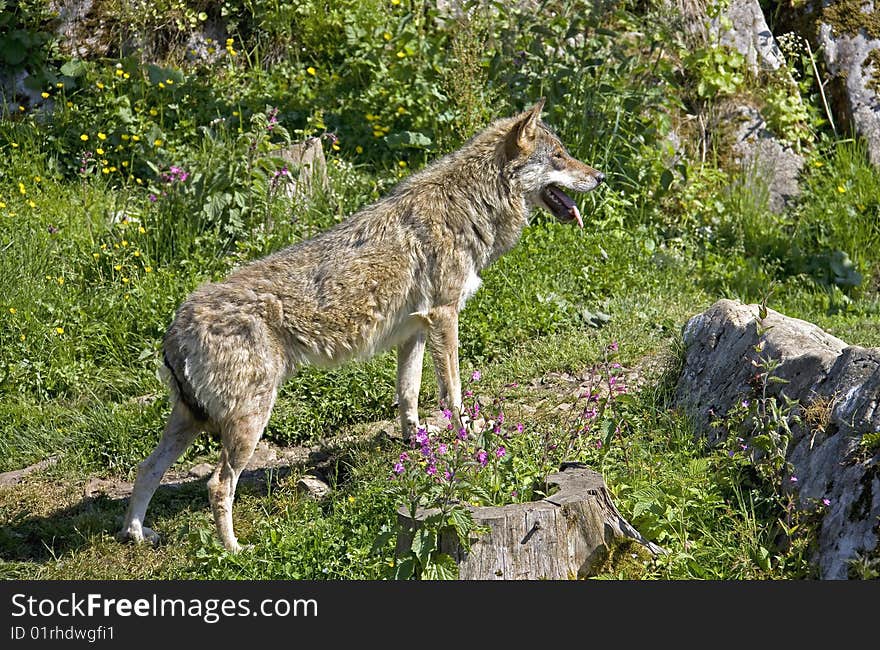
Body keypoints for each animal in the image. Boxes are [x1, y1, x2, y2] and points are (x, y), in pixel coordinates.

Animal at [118, 98, 604, 548]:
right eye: (559, 156)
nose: (600, 176)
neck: (470, 203)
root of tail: (175, 326)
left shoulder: (415, 331)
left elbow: (408, 397)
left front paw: (416, 445)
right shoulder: (445, 316)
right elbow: (453, 393)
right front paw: (465, 440)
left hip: (190, 422)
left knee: (147, 468)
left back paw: (137, 534)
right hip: (247, 421)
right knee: (217, 484)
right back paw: (234, 551)